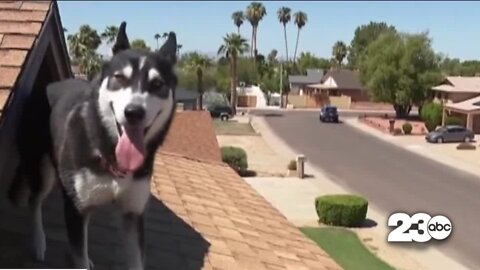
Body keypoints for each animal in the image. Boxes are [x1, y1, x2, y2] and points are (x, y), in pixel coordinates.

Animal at [7, 22, 178, 268]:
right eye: (119, 78)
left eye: (157, 84)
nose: (134, 112)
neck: (108, 149)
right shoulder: (75, 208)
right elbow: (78, 251)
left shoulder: (132, 213)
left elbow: (135, 259)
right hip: (44, 170)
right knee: (34, 200)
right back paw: (38, 241)